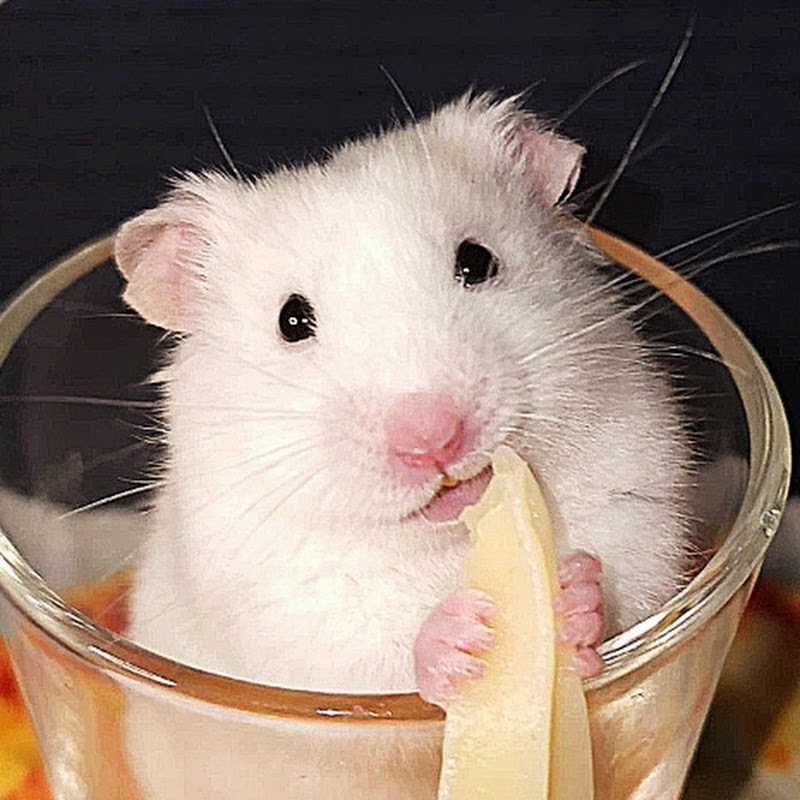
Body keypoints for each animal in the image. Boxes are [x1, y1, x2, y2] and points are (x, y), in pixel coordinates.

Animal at [114, 92, 691, 695]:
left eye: (477, 260)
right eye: (290, 320)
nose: (433, 438)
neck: (447, 536)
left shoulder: (641, 503)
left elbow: (629, 584)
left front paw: (572, 597)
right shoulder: (282, 612)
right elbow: (369, 655)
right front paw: (461, 637)